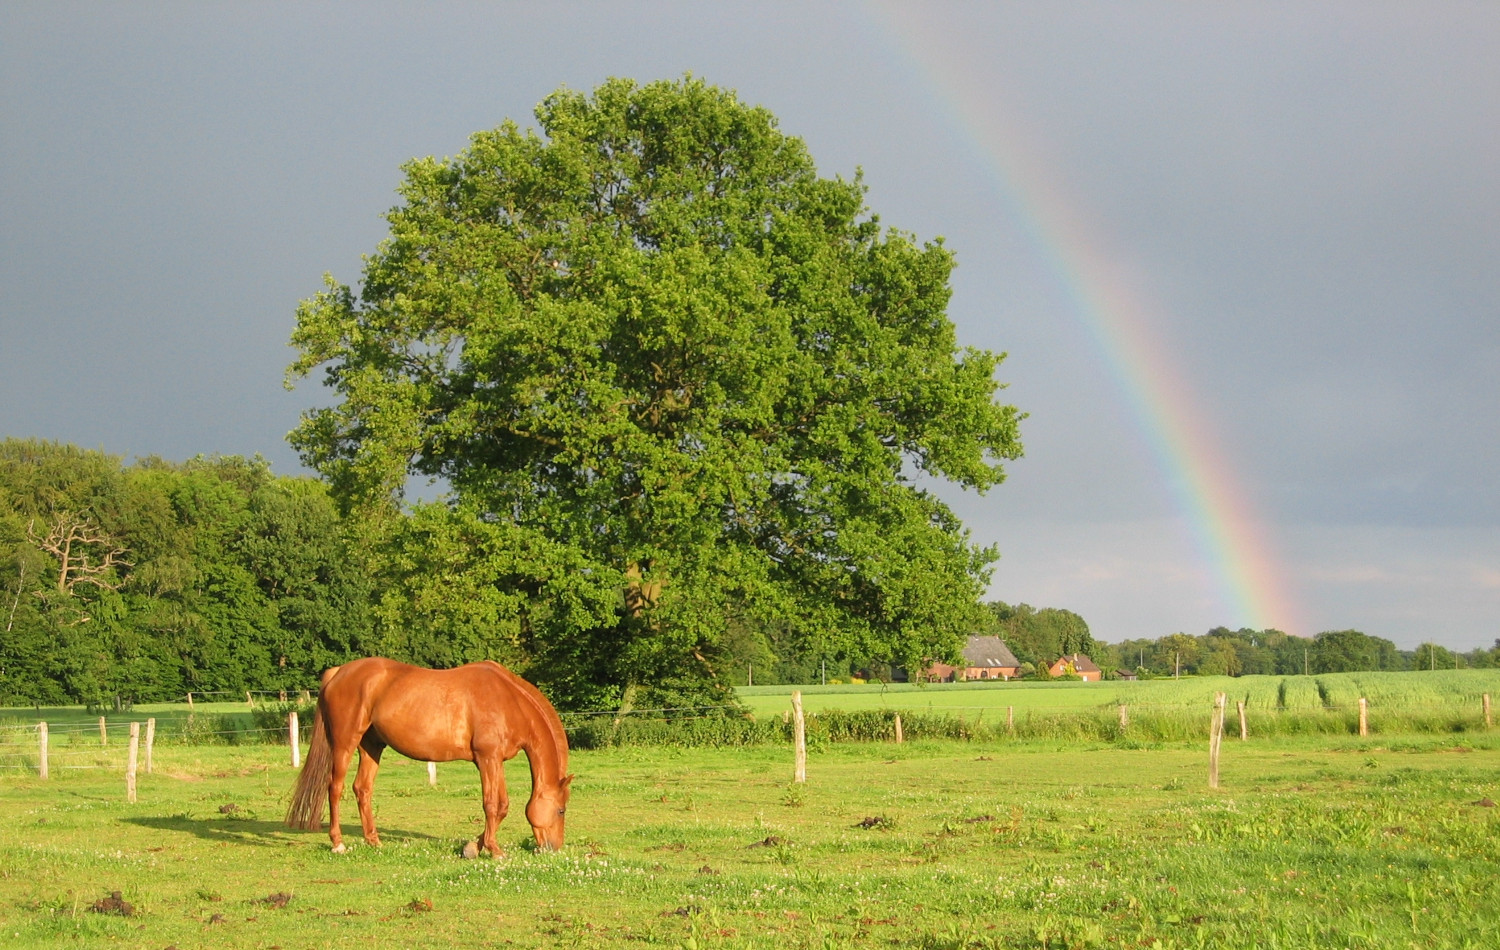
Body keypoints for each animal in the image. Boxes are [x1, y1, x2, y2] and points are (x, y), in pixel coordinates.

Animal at [283, 660, 570, 852]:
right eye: (561, 810)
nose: (553, 848)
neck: (508, 701)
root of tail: (338, 672)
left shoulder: (494, 761)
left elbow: (501, 807)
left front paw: (474, 847)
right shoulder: (487, 759)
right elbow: (493, 805)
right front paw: (492, 849)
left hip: (371, 746)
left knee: (362, 789)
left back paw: (374, 840)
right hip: (345, 743)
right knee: (335, 788)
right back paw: (338, 843)